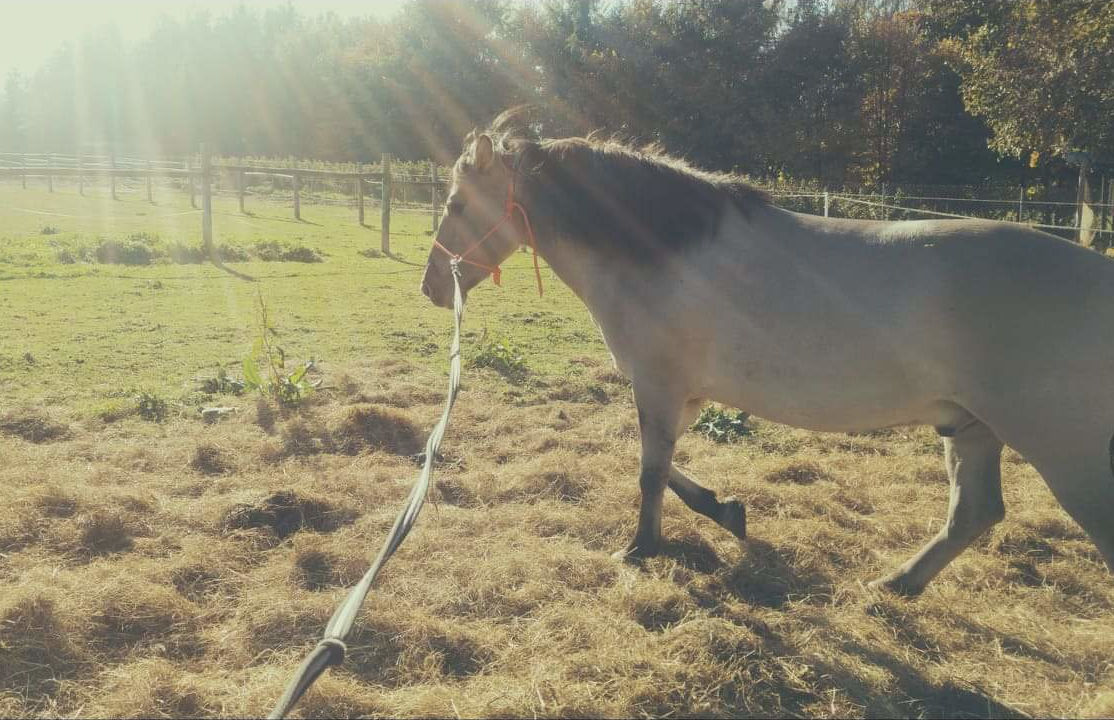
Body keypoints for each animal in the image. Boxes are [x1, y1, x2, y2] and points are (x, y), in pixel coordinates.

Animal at [418, 114, 1114, 597]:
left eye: (455, 204)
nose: (431, 287)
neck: (663, 254)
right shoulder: (680, 393)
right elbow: (662, 466)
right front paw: (726, 513)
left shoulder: (659, 386)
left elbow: (649, 471)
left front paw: (641, 549)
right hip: (970, 427)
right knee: (974, 512)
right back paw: (895, 584)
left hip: (1063, 449)